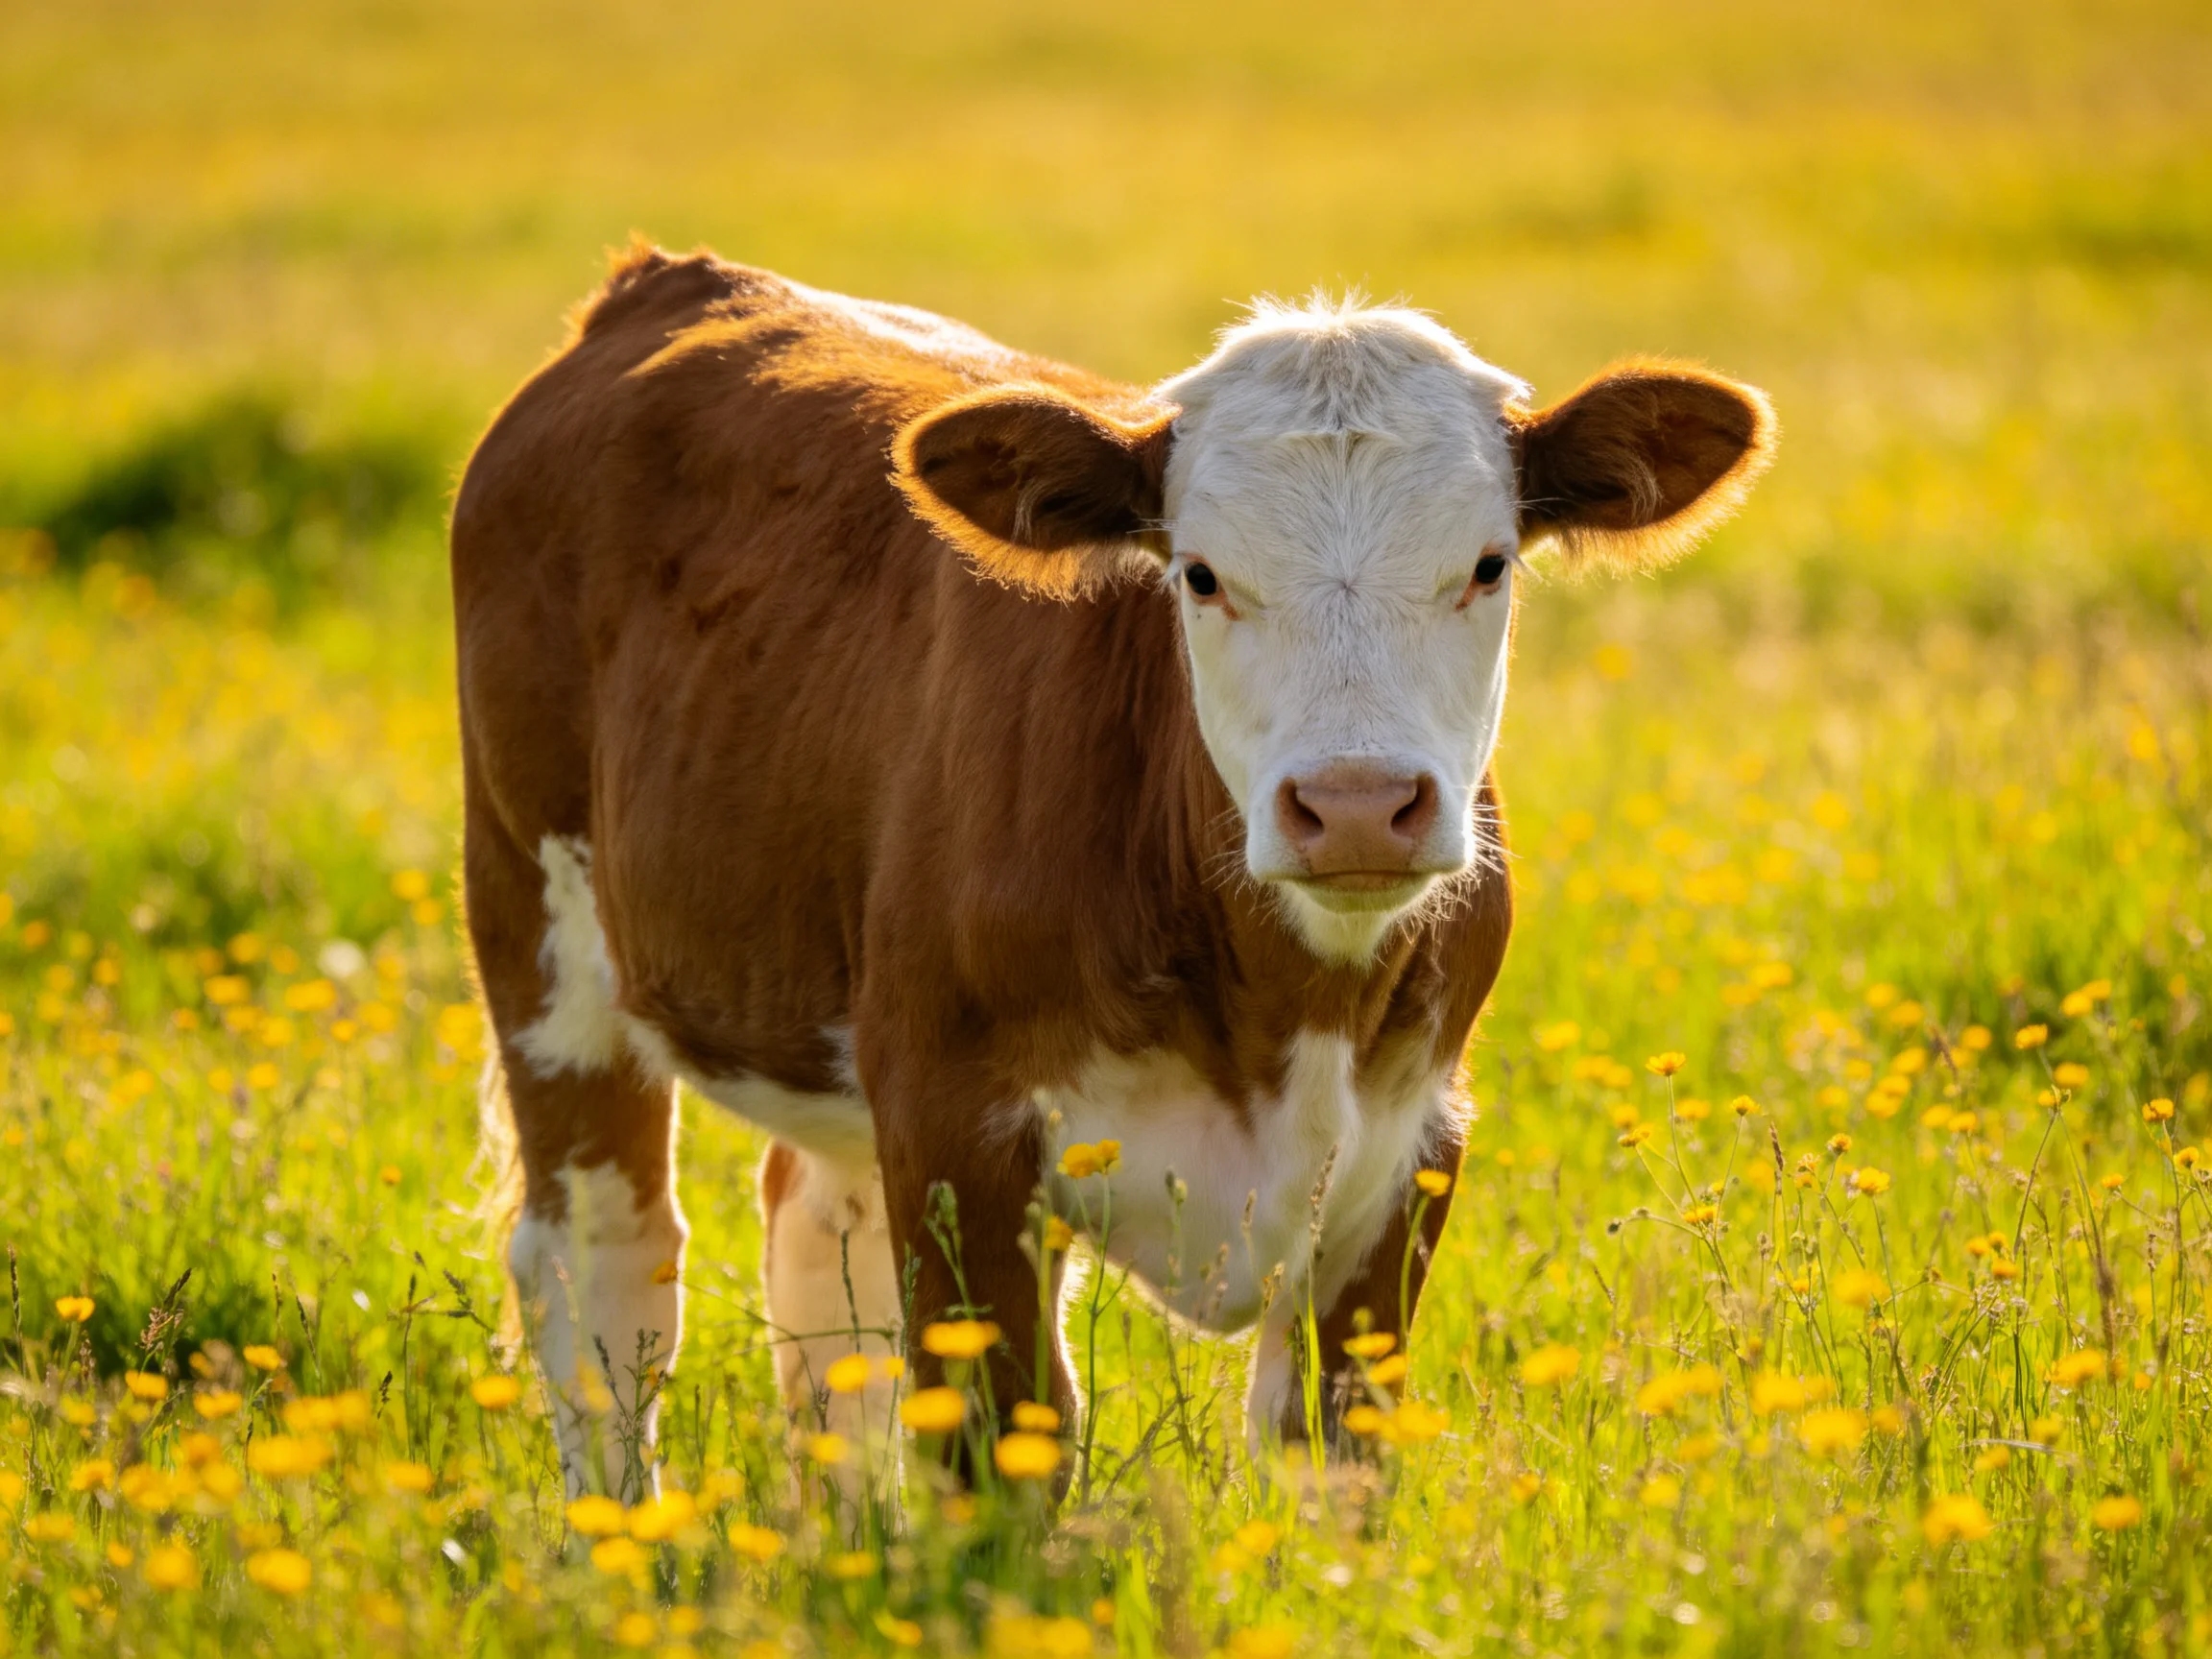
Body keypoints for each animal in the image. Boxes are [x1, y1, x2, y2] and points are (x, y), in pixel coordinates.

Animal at [452, 244, 1773, 1498]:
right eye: (1199, 574)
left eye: (1490, 565)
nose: (1355, 807)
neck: (1285, 1009)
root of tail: (668, 281)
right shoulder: (956, 1120)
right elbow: (1001, 1437)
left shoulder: (1413, 1142)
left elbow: (1334, 1444)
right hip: (539, 929)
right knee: (604, 1278)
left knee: (820, 1269)